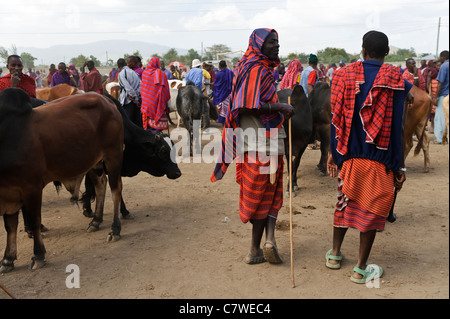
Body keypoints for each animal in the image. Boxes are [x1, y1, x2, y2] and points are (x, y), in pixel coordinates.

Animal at [0, 89, 124, 274]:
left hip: (113, 155)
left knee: (116, 190)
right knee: (101, 185)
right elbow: (10, 226)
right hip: (93, 161)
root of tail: (106, 99)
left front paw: (38, 255)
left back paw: (115, 229)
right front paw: (7, 259)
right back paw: (95, 221)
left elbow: (34, 221)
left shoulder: (32, 188)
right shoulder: (9, 192)